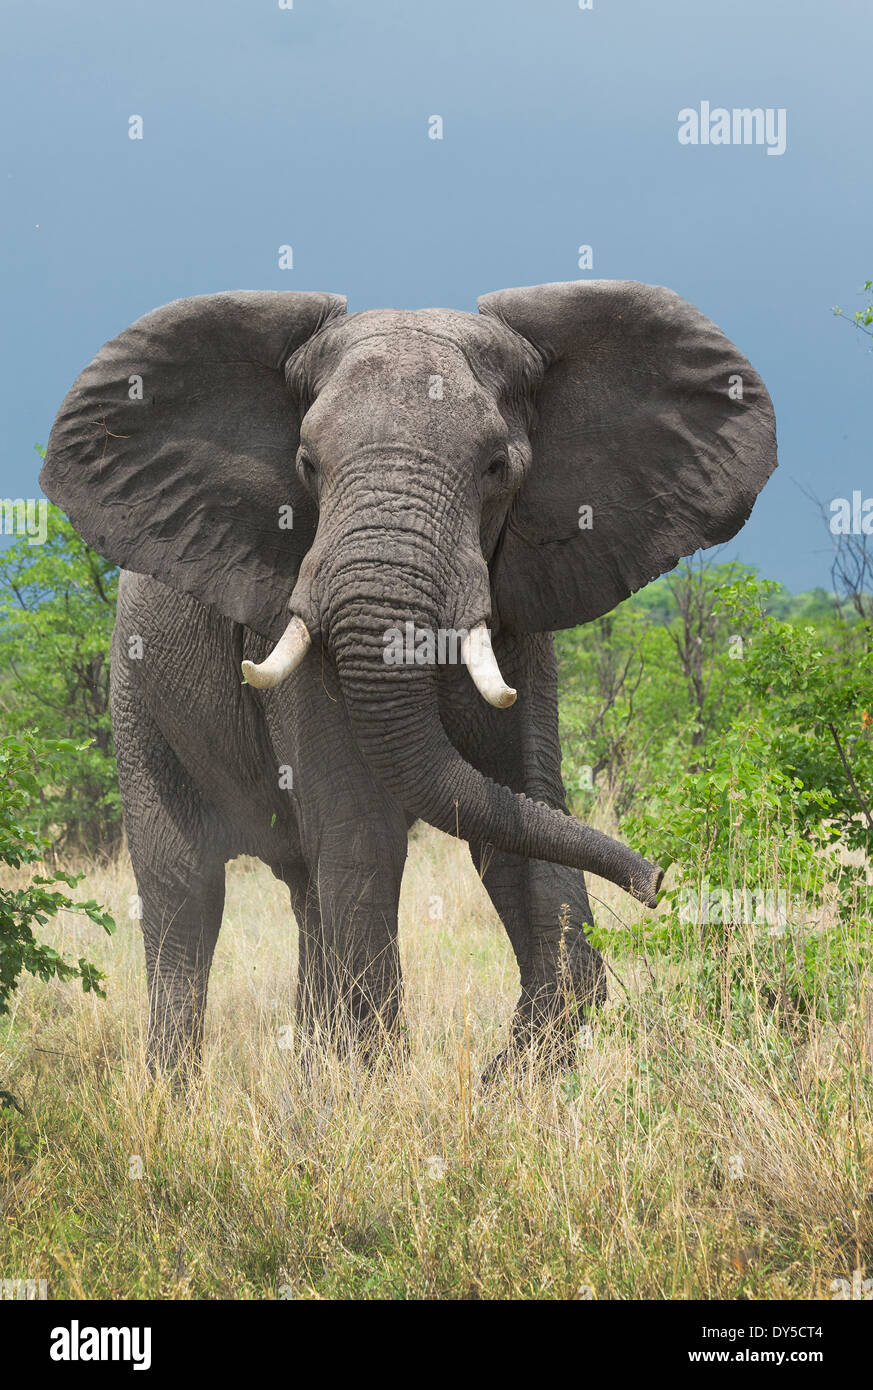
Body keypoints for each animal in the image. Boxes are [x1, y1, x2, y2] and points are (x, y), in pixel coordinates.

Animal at [41, 273, 778, 1073]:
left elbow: (521, 811)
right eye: (307, 466)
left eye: (497, 468)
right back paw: (177, 1092)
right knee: (185, 891)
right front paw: (374, 1088)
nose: (657, 881)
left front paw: (488, 1086)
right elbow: (366, 831)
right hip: (135, 695)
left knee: (308, 888)